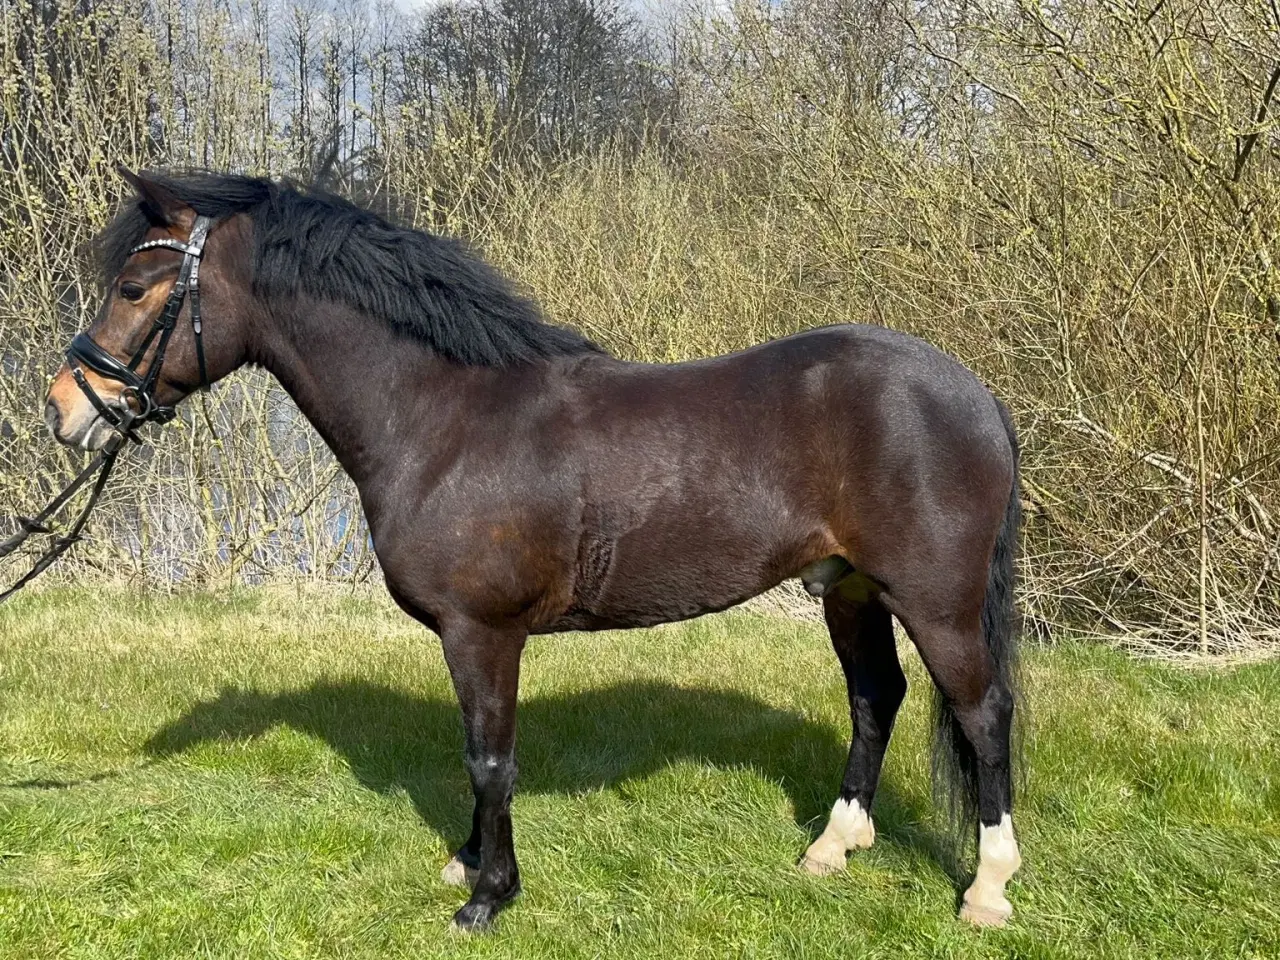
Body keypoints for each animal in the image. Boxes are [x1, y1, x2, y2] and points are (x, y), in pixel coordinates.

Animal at [43, 169, 1024, 932]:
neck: (445, 419)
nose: (64, 406)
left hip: (934, 601)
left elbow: (489, 756)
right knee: (875, 699)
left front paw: (488, 895)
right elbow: (475, 750)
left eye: (135, 289)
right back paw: (832, 847)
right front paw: (468, 861)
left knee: (982, 715)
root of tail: (975, 393)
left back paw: (987, 889)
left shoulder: (481, 632)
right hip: (849, 590)